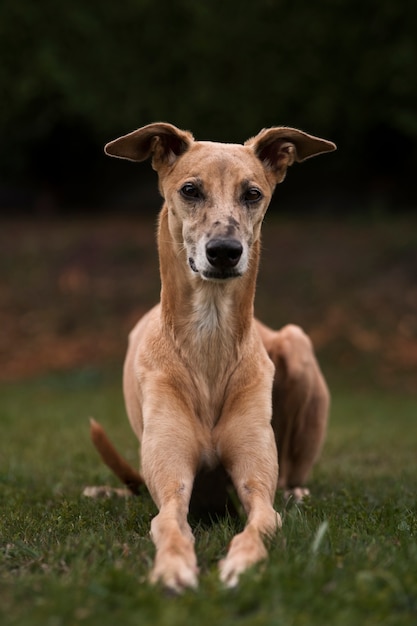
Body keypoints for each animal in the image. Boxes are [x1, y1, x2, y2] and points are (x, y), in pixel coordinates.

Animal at [86, 122, 336, 588]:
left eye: (252, 193)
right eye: (190, 189)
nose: (224, 251)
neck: (209, 343)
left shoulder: (257, 484)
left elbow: (263, 519)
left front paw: (242, 563)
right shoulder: (172, 487)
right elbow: (167, 521)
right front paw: (172, 567)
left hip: (296, 345)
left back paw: (296, 491)